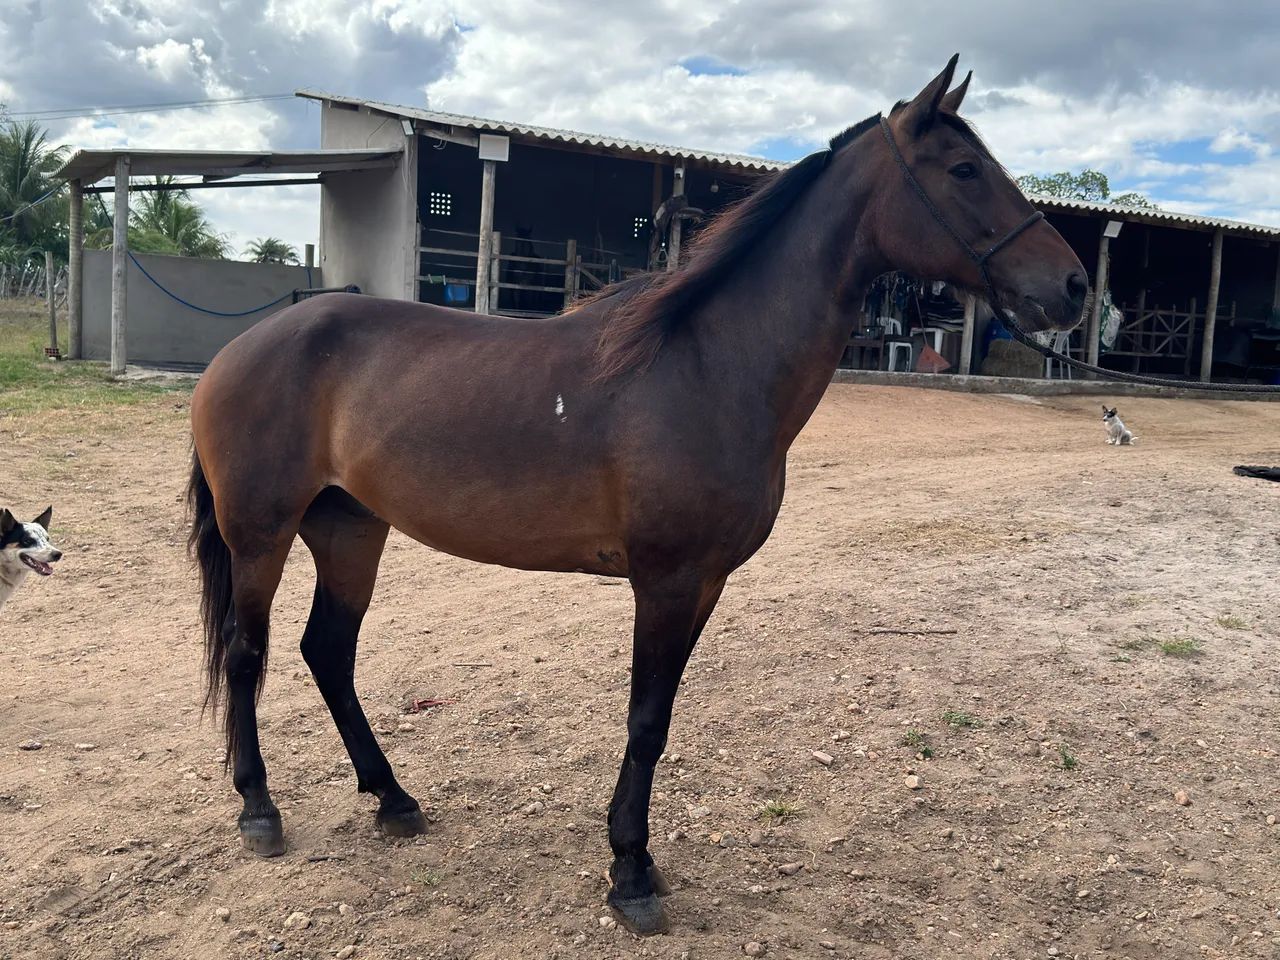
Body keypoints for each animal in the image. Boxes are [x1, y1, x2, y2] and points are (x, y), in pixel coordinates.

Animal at [188, 55, 1087, 936]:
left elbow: (658, 721)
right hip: (261, 535)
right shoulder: (665, 581)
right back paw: (260, 810)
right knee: (247, 653)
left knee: (328, 653)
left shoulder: (704, 584)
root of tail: (240, 349)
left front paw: (636, 862)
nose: (1075, 287)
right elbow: (645, 720)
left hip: (351, 531)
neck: (709, 364)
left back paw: (394, 799)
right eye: (965, 169)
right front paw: (630, 874)